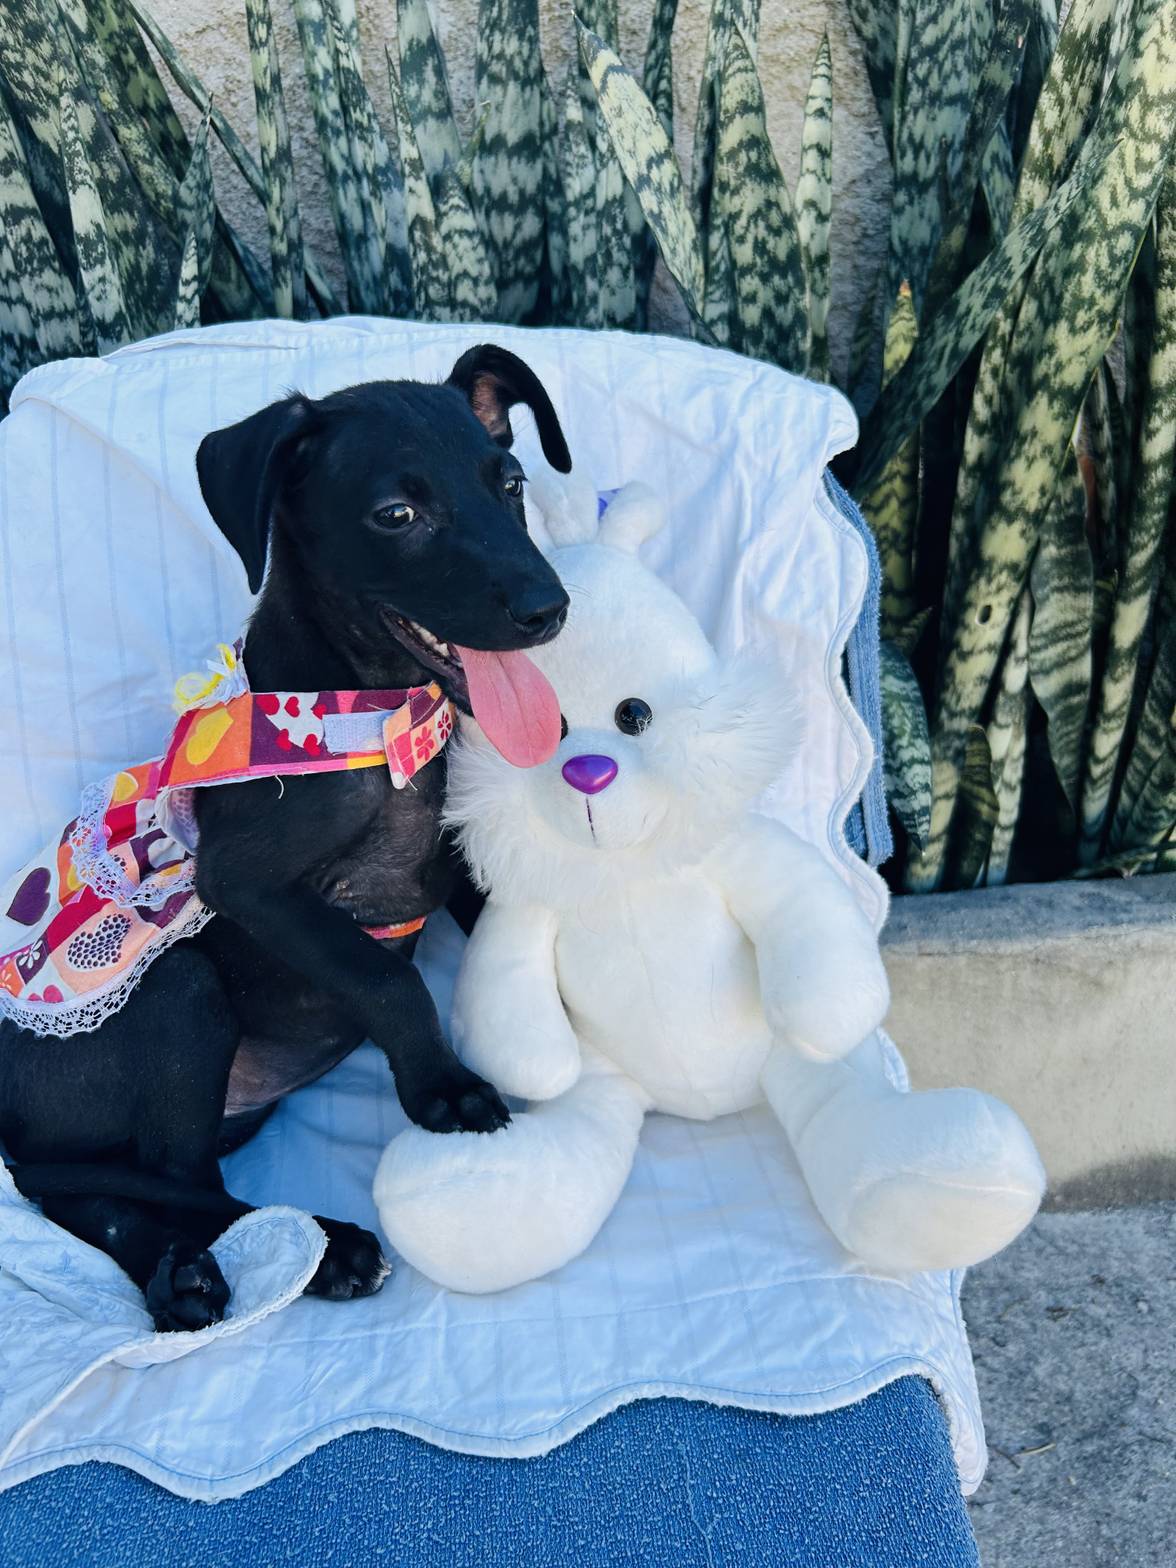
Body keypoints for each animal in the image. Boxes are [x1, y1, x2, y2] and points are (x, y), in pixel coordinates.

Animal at [0, 345, 571, 1329]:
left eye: (511, 484)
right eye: (396, 515)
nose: (550, 607)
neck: (371, 710)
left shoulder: (452, 858)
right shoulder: (250, 887)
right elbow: (385, 977)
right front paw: (442, 1088)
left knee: (104, 1199)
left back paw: (183, 1272)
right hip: (180, 993)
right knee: (175, 1179)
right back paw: (317, 1248)